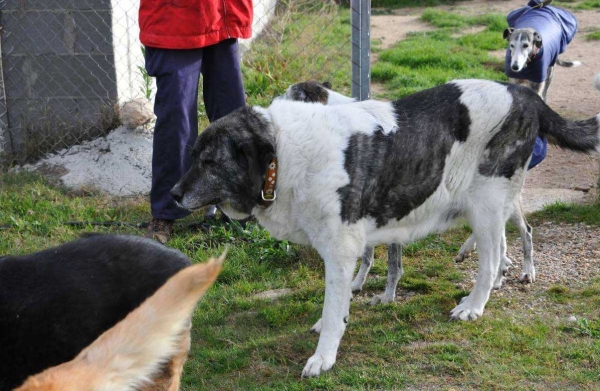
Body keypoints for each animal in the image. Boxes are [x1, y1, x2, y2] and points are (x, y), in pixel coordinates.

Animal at [170, 79, 600, 376]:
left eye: (210, 162)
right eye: (193, 157)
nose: (173, 194)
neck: (284, 155)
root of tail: (522, 92)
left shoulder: (341, 249)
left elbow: (334, 305)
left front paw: (323, 357)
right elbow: (341, 300)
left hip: (487, 202)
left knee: (493, 256)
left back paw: (474, 305)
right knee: (501, 249)